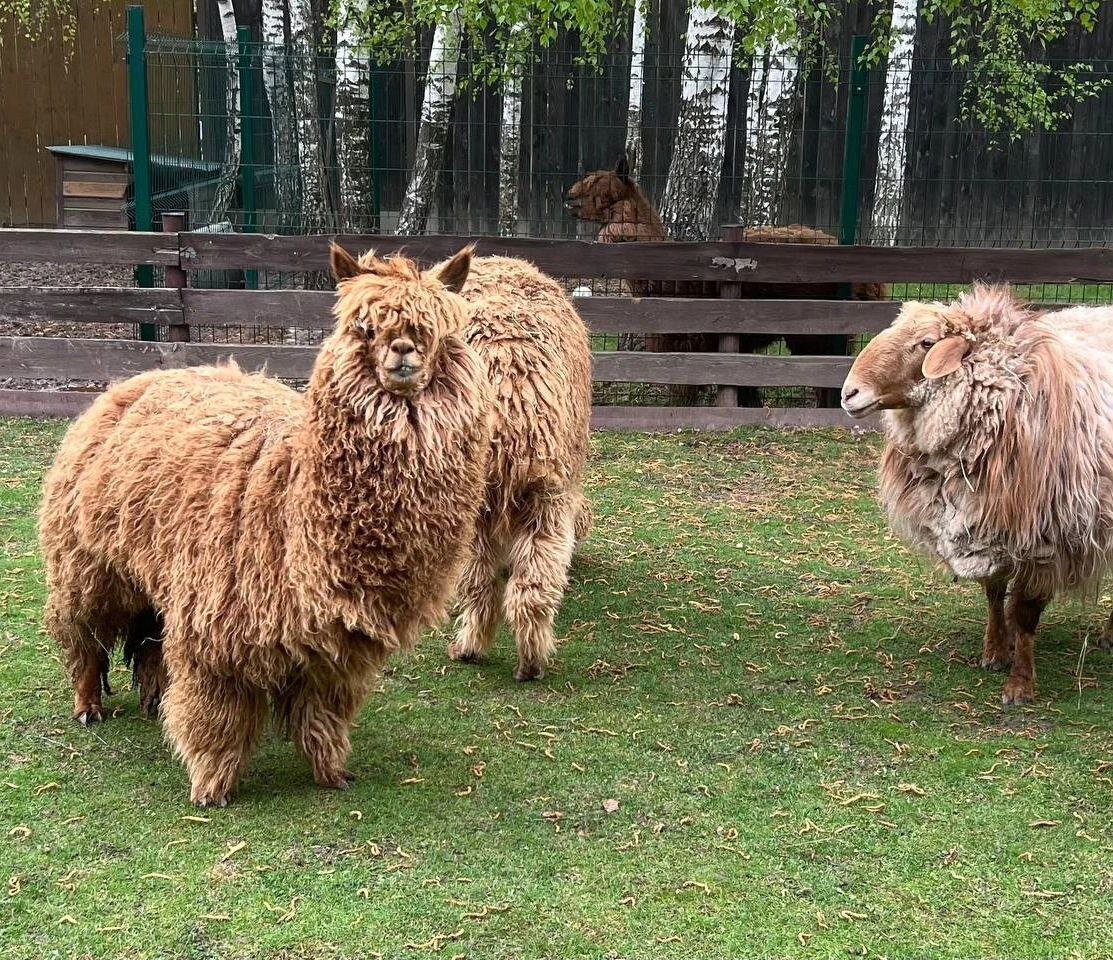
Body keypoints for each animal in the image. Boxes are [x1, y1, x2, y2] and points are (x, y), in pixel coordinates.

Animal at [40, 243, 491, 805]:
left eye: (434, 330)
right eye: (364, 328)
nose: (403, 350)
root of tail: (135, 381)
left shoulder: (337, 646)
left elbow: (323, 713)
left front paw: (332, 772)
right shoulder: (217, 624)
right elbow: (217, 714)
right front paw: (210, 786)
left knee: (148, 638)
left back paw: (153, 701)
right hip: (89, 561)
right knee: (83, 633)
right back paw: (88, 707)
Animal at [841, 286, 1113, 707]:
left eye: (927, 343)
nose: (848, 394)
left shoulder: (1045, 540)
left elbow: (1026, 613)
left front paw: (1020, 685)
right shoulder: (984, 530)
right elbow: (993, 594)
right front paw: (995, 651)